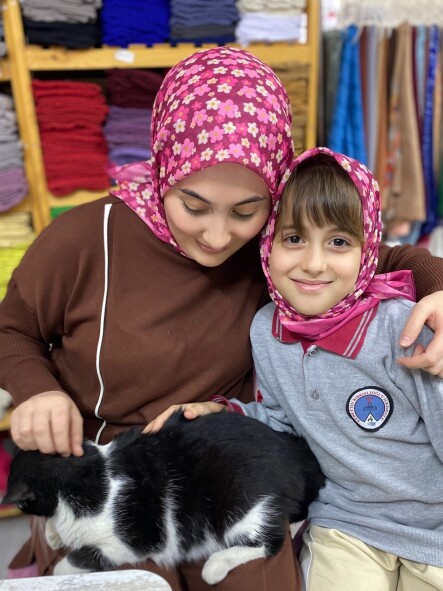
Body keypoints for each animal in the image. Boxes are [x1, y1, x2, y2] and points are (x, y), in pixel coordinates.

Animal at [2, 410, 324, 584]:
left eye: (22, 503)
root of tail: (296, 453)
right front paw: (53, 534)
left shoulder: (131, 542)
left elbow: (71, 562)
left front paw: (61, 562)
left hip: (241, 505)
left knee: (269, 543)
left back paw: (215, 566)